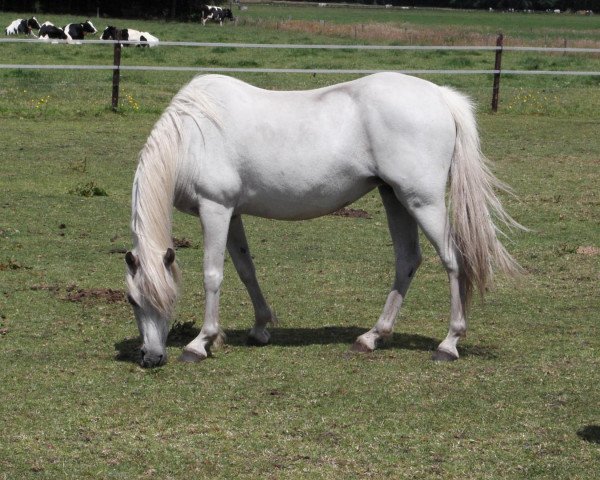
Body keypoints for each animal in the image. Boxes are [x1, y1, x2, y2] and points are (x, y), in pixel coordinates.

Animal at [125, 73, 520, 370]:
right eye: (132, 299)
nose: (151, 357)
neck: (194, 134)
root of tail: (440, 96)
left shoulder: (216, 208)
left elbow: (213, 275)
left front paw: (200, 343)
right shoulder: (233, 213)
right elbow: (245, 269)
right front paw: (259, 328)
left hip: (423, 201)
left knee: (453, 260)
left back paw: (449, 343)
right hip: (394, 197)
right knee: (408, 260)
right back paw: (372, 337)